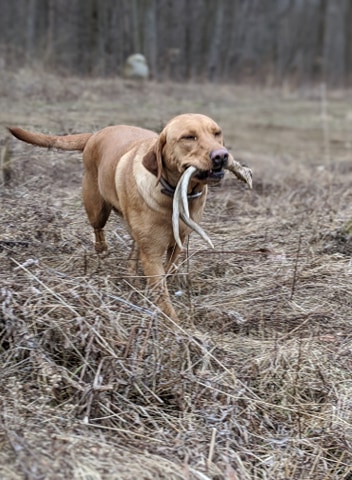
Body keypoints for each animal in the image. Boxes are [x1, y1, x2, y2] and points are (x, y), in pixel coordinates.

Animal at [8, 114, 250, 320]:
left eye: (217, 133)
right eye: (189, 137)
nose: (221, 155)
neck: (174, 196)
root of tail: (95, 134)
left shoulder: (177, 244)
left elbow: (168, 271)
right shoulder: (152, 254)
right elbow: (162, 295)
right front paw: (176, 328)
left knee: (133, 247)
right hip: (96, 207)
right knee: (99, 230)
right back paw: (102, 250)